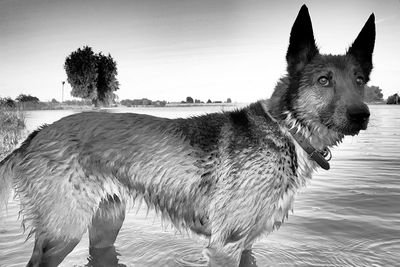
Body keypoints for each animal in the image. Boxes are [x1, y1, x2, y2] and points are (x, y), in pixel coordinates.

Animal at [0, 4, 376, 267]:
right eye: (324, 80)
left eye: (360, 80)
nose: (363, 115)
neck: (286, 129)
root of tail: (35, 135)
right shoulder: (226, 246)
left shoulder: (246, 245)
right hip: (63, 233)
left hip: (106, 223)